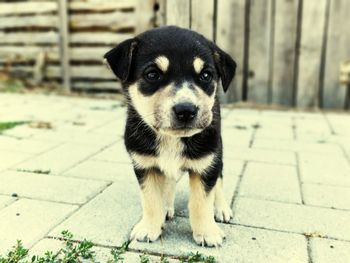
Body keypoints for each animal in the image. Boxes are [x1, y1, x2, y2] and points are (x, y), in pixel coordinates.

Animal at [103, 26, 235, 248]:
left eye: (206, 75)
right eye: (152, 74)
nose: (186, 110)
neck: (171, 138)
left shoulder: (207, 162)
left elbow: (202, 201)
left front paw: (207, 232)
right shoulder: (145, 164)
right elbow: (151, 199)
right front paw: (149, 228)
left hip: (218, 152)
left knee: (219, 180)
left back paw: (221, 208)